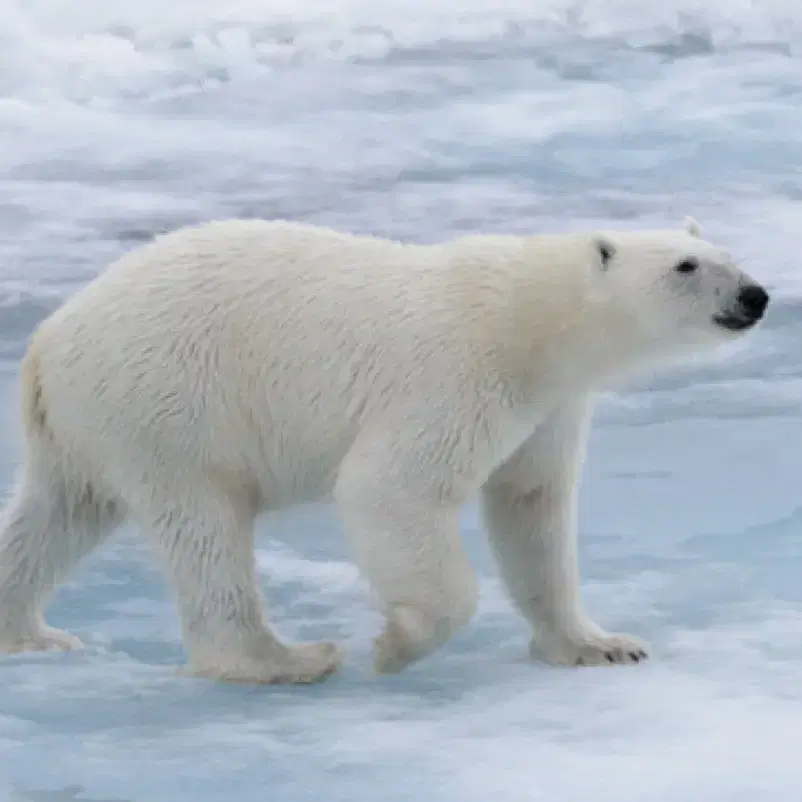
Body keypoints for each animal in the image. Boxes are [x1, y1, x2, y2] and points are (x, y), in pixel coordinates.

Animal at [0, 214, 768, 680]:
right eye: (686, 266)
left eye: (729, 255)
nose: (756, 295)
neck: (529, 319)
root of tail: (47, 341)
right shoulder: (458, 372)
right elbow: (392, 489)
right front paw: (398, 643)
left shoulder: (550, 406)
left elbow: (531, 507)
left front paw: (600, 644)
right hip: (168, 403)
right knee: (204, 525)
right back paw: (285, 658)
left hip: (87, 427)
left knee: (54, 516)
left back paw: (30, 632)